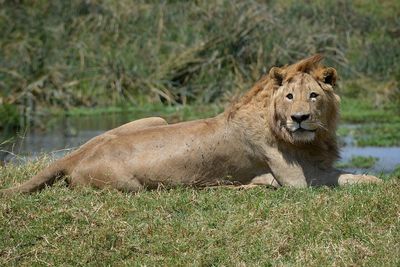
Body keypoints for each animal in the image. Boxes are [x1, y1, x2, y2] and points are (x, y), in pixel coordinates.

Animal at [0, 55, 382, 197]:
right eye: (289, 97)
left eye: (313, 96)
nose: (299, 118)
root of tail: (75, 156)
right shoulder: (298, 182)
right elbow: (348, 178)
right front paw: (375, 182)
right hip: (132, 186)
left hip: (155, 118)